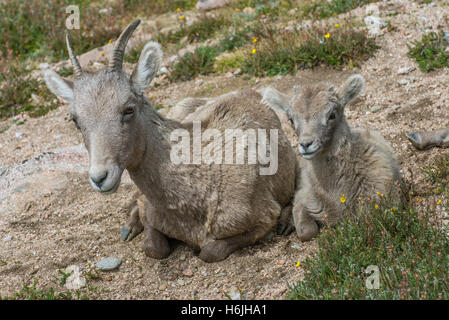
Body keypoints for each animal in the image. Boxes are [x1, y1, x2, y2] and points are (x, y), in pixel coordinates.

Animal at [43, 18, 298, 262]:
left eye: (128, 109)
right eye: (75, 119)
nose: (100, 178)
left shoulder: (263, 219)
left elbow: (209, 251)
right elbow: (153, 248)